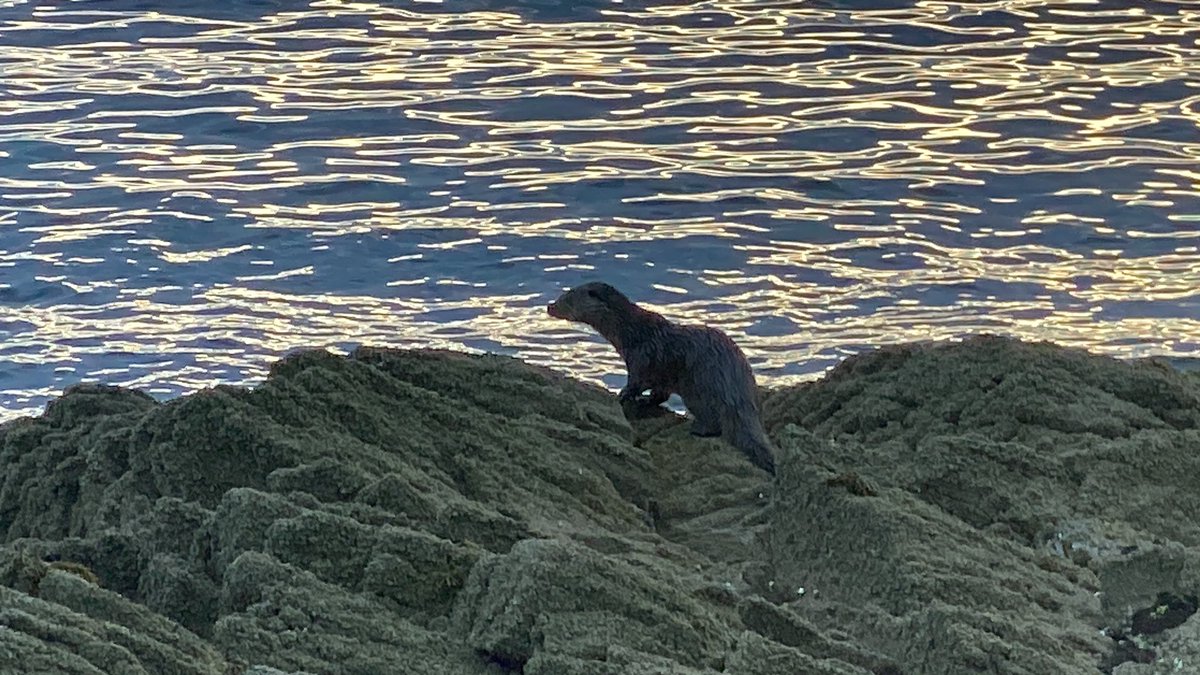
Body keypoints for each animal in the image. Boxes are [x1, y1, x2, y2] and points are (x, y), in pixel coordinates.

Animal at [547, 281, 776, 474]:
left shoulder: (640, 359)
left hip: (698, 389)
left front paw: (623, 396)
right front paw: (646, 401)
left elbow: (637, 384)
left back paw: (698, 429)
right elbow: (660, 394)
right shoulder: (659, 377)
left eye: (566, 298)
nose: (550, 306)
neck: (633, 332)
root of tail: (737, 394)